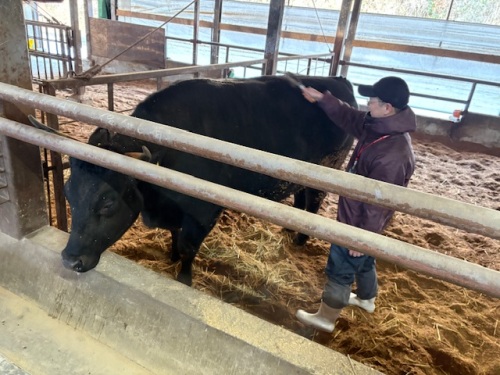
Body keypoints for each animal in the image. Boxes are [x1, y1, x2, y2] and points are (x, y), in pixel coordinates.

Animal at [58, 75, 358, 286]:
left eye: (107, 202)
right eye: (68, 194)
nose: (69, 260)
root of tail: (338, 81)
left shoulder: (204, 211)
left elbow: (188, 246)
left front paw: (184, 278)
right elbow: (174, 234)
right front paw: (171, 256)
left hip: (329, 169)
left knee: (314, 201)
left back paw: (300, 239)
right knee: (300, 196)